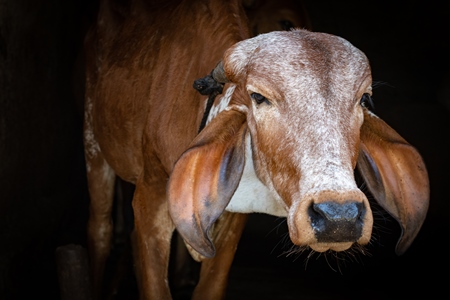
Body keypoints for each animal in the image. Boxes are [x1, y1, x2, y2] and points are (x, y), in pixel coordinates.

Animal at [83, 0, 428, 300]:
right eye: (258, 97)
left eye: (364, 99)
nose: (338, 217)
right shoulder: (150, 201)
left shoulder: (233, 220)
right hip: (93, 145)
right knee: (100, 230)